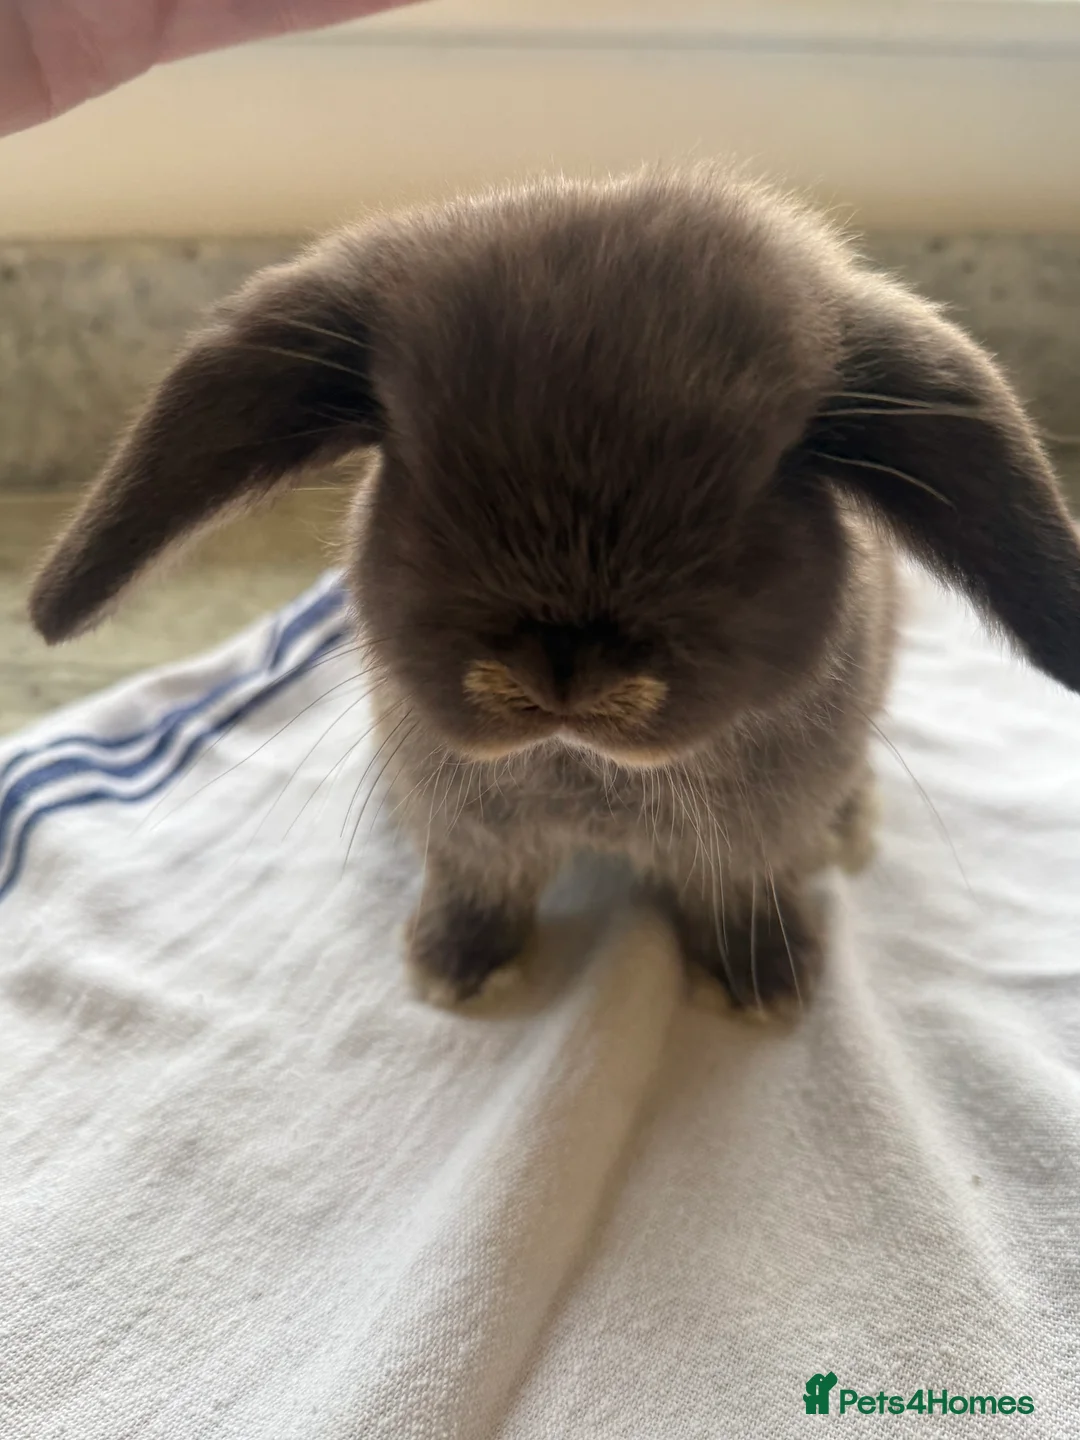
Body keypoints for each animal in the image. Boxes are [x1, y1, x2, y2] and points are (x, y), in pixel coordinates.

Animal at [28, 166, 1080, 1016]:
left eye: (773, 472)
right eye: (412, 459)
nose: (563, 670)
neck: (586, 770)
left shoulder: (749, 840)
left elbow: (741, 890)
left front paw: (768, 983)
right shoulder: (472, 833)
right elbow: (475, 887)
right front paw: (452, 971)